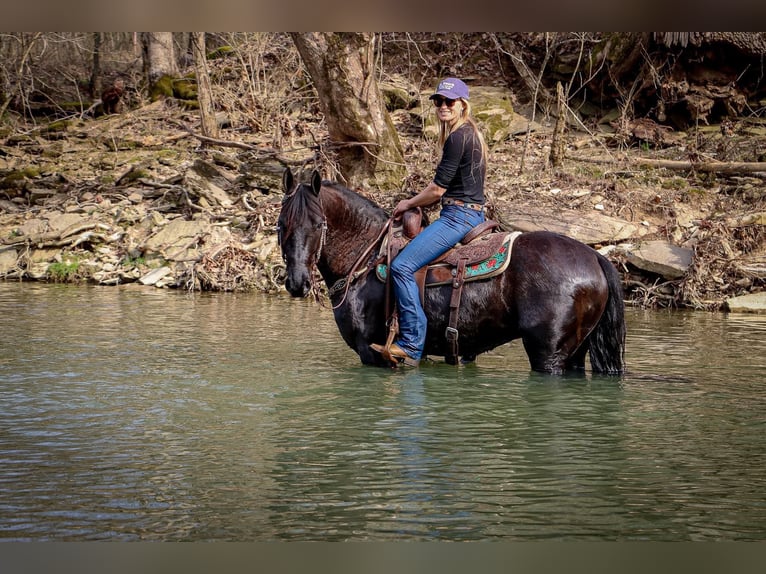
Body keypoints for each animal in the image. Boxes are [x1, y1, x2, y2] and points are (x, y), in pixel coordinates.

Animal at [280, 169, 628, 376]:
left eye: (318, 225)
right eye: (282, 224)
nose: (297, 283)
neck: (364, 255)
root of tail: (595, 256)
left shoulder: (370, 352)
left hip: (549, 354)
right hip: (575, 352)